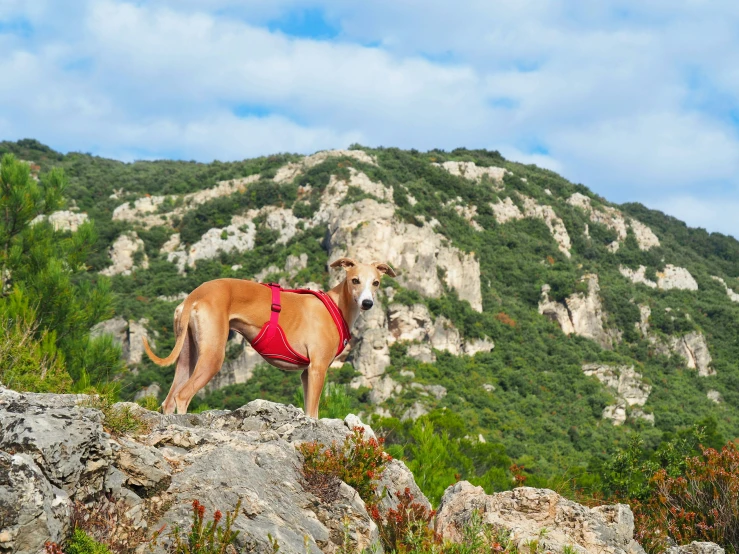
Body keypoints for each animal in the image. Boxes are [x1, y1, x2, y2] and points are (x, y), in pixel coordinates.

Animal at [142, 256, 396, 416]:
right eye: (355, 280)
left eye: (376, 282)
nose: (367, 303)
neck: (336, 305)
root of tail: (194, 296)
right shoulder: (317, 369)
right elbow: (313, 413)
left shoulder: (306, 374)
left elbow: (308, 411)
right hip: (212, 357)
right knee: (182, 396)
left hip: (188, 356)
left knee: (168, 400)